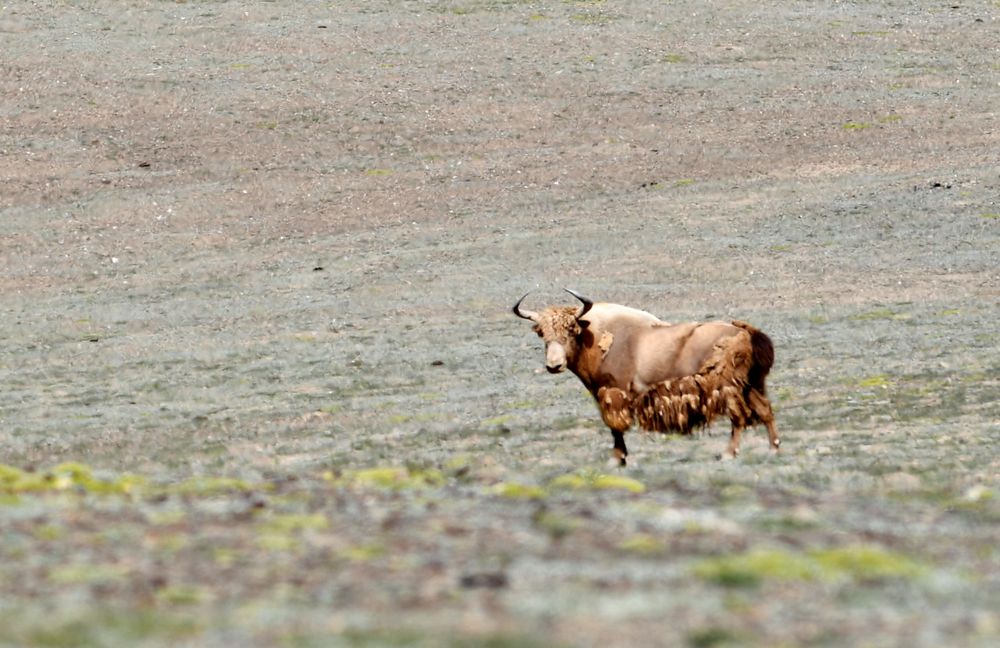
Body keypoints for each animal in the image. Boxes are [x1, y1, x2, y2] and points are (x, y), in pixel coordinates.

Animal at [513, 289, 779, 465]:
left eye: (570, 331)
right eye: (542, 333)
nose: (554, 365)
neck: (593, 337)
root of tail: (747, 332)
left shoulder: (613, 392)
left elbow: (615, 427)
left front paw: (617, 459)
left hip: (727, 386)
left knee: (739, 417)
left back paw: (728, 453)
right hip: (750, 384)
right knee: (764, 410)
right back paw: (774, 447)